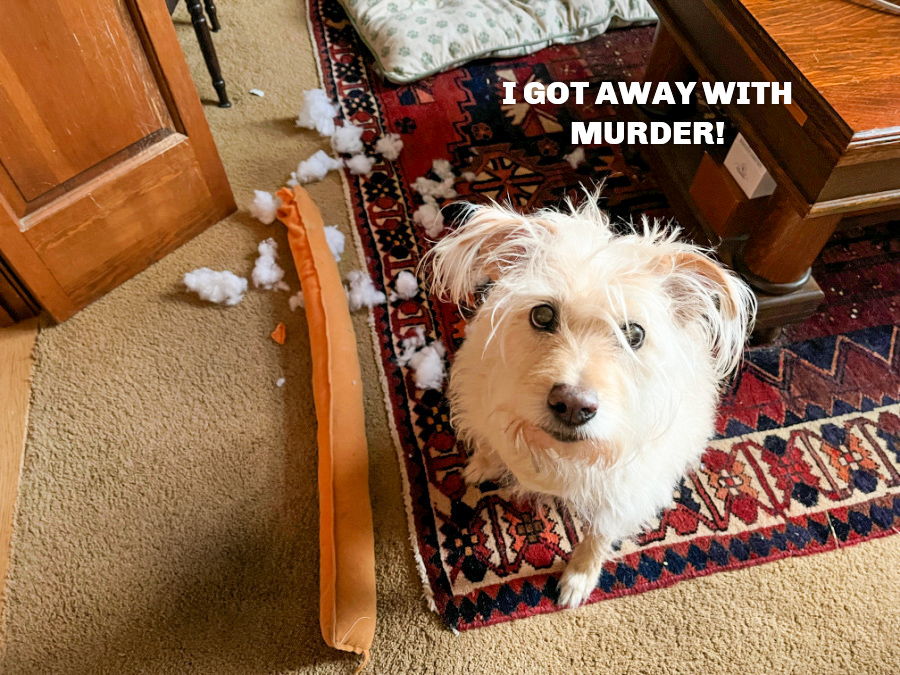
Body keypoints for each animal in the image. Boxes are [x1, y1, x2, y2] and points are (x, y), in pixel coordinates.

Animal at [428, 196, 755, 608]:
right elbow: (490, 442)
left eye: (634, 334)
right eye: (542, 314)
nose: (573, 404)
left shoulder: (627, 489)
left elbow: (598, 535)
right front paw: (482, 464)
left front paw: (578, 578)